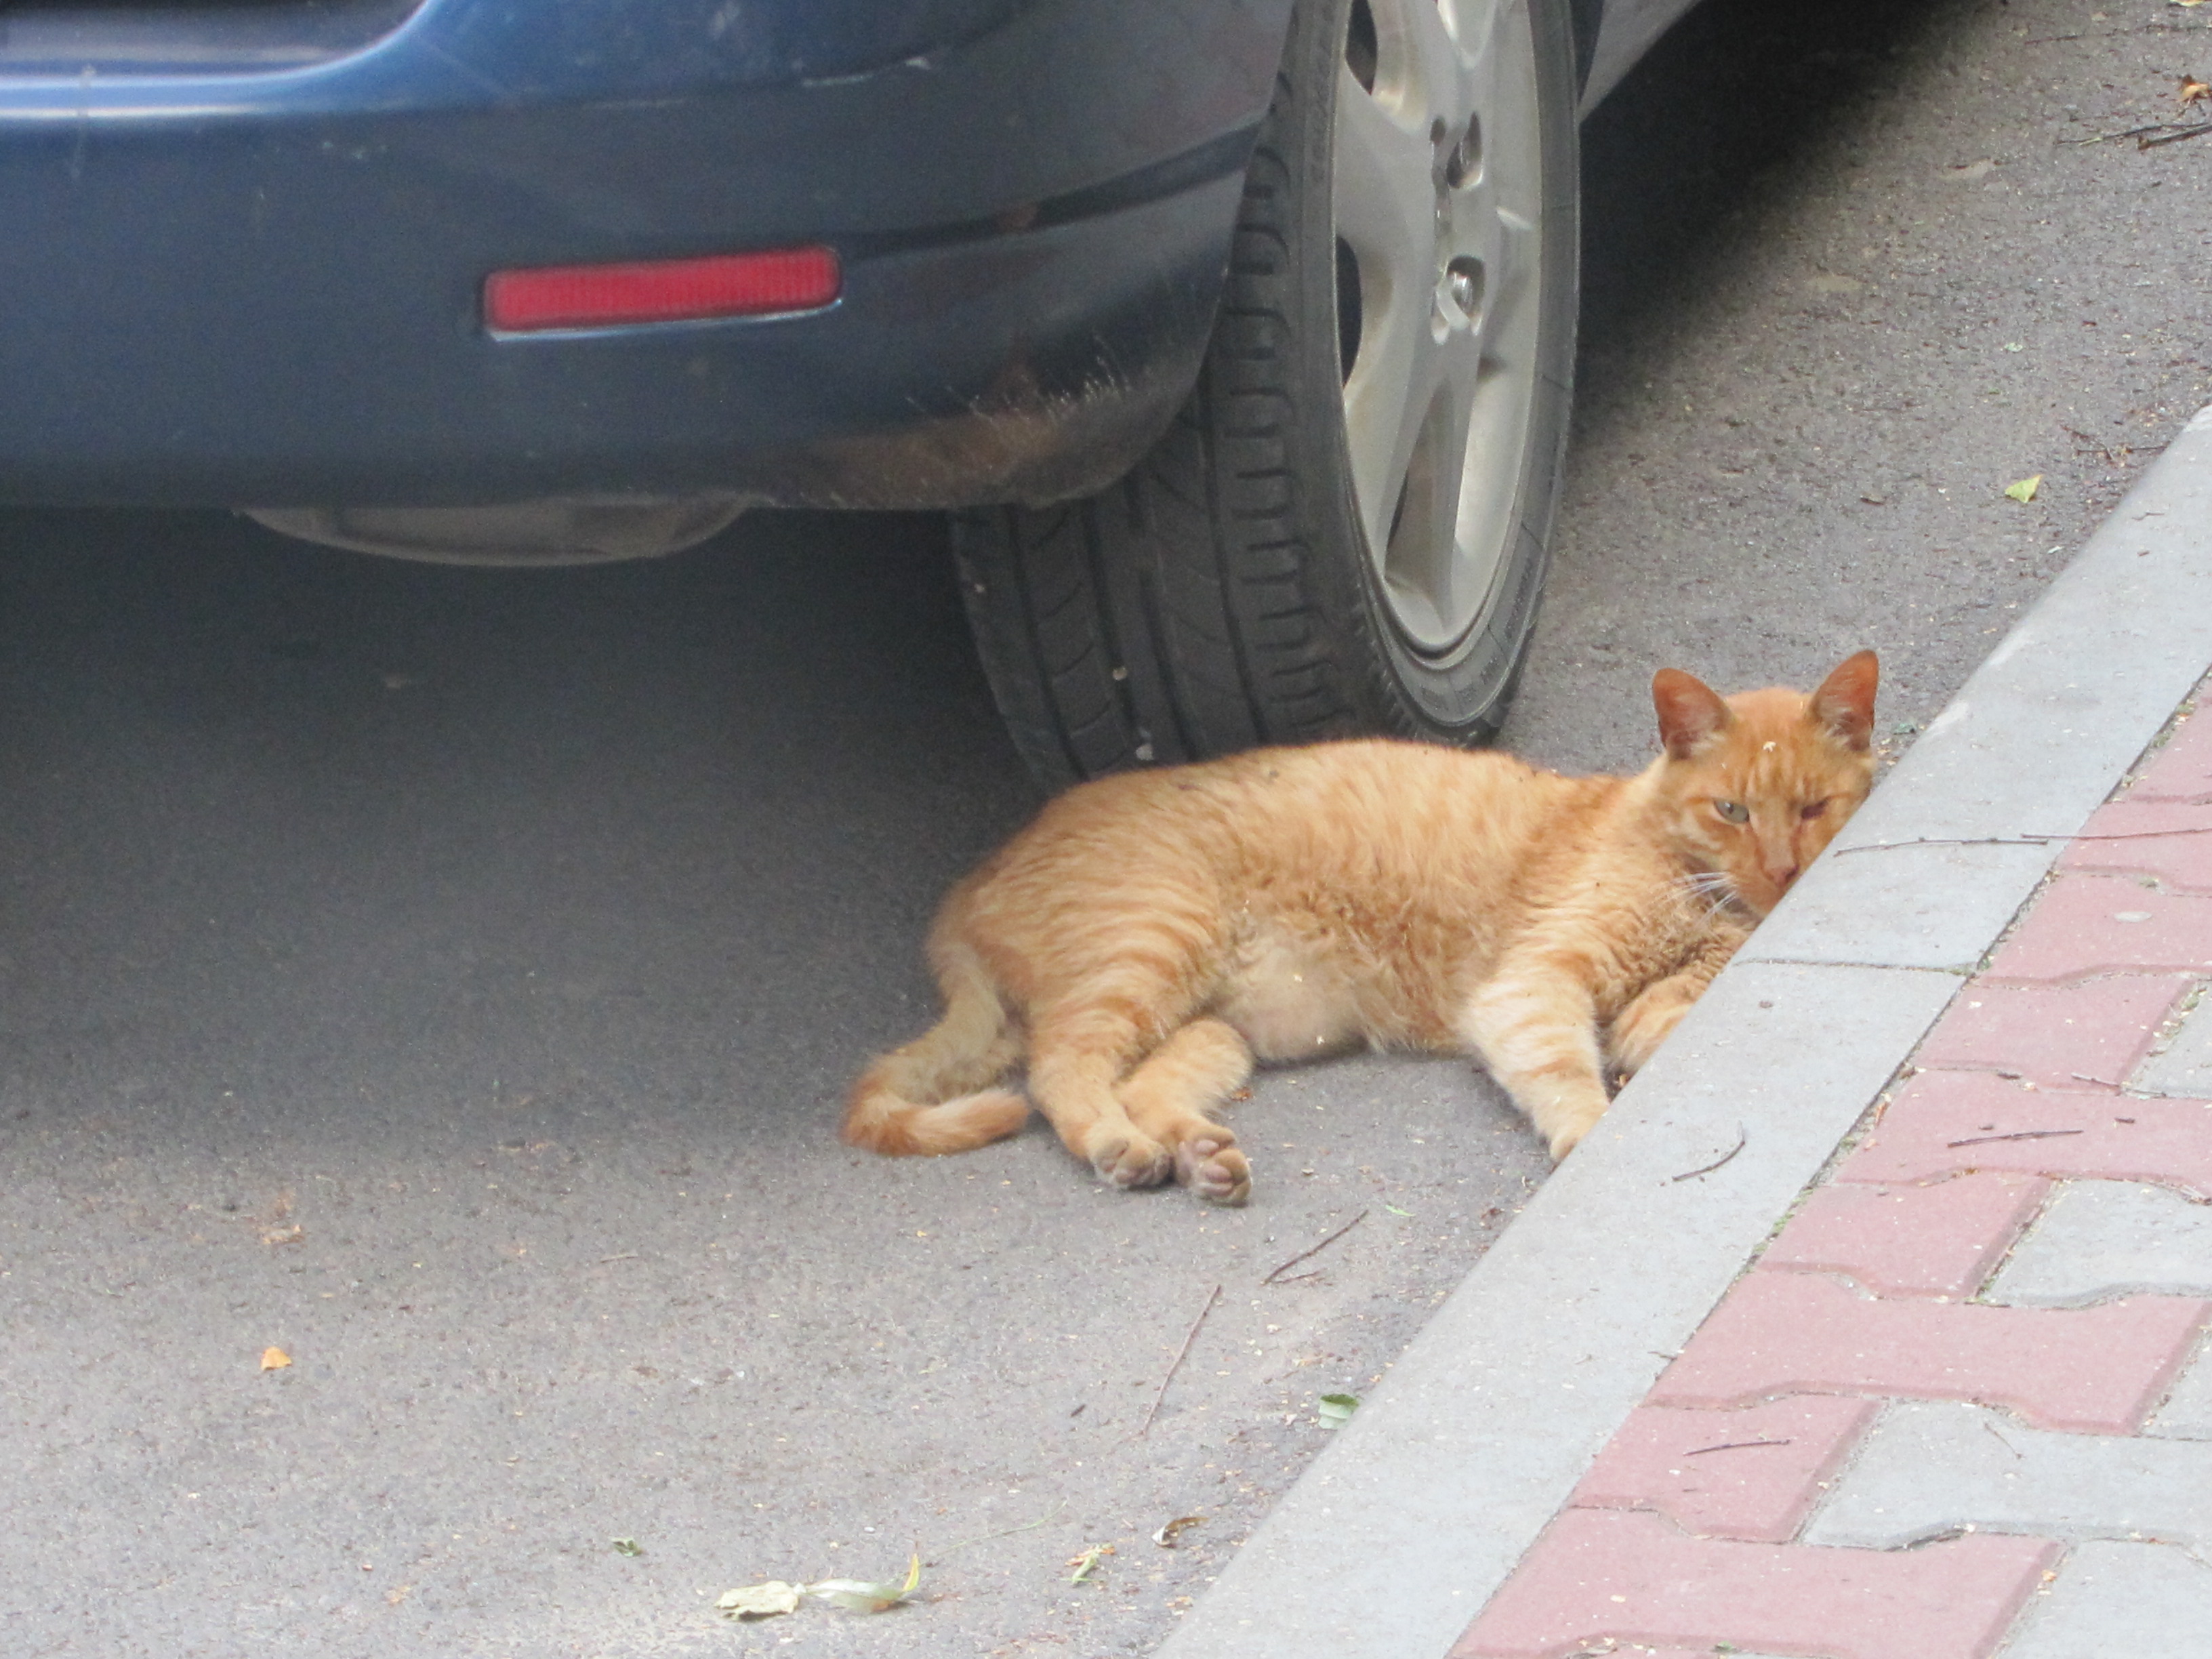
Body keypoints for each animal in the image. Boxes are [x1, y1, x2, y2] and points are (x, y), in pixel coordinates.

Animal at [836, 655, 1875, 1212]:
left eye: (1813, 808)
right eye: (1732, 810)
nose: (1783, 871)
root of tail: (971, 884)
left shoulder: (1671, 982)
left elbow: (1665, 1013)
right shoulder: (1531, 985)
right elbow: (1567, 1073)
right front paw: (1591, 1134)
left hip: (1210, 1029)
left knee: (1139, 1082)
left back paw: (1197, 1156)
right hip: (1152, 946)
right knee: (1060, 1072)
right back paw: (1120, 1148)